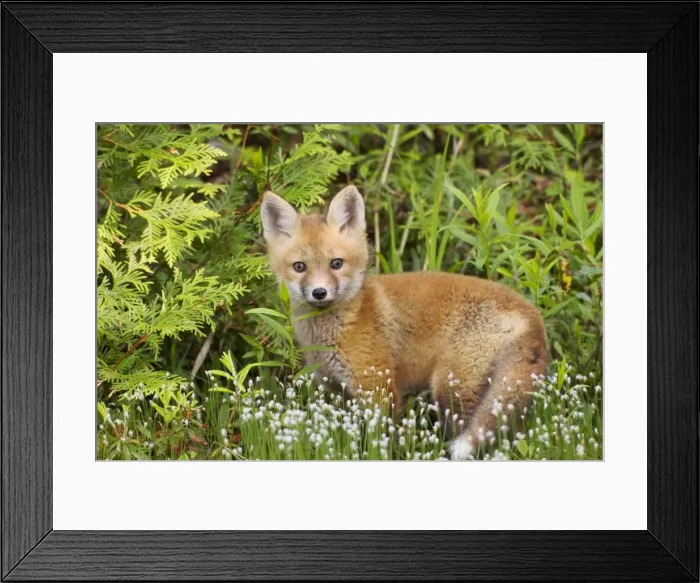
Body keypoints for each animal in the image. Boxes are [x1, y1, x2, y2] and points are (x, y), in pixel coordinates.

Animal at [260, 184, 549, 459]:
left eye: (336, 263)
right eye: (299, 267)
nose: (319, 292)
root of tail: (531, 314)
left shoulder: (377, 387)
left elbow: (383, 443)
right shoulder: (333, 390)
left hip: (451, 389)